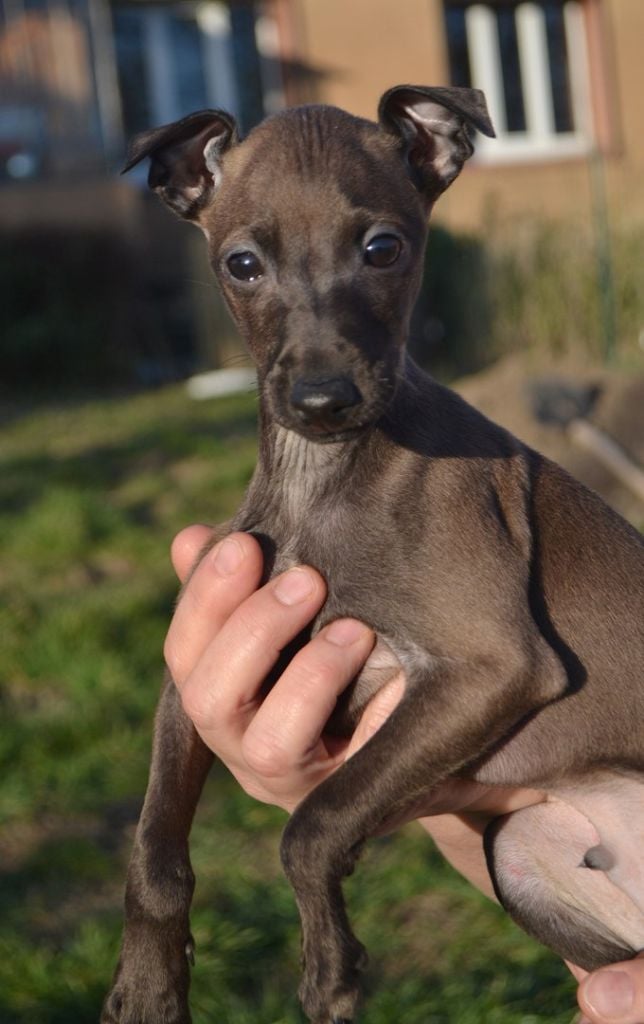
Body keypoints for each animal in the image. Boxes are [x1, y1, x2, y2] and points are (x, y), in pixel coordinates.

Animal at [102, 86, 644, 1024]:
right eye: (242, 264)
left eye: (382, 248)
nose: (323, 398)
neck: (321, 478)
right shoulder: (190, 676)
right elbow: (154, 850)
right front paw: (148, 981)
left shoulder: (491, 668)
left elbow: (313, 821)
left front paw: (331, 966)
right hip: (522, 850)